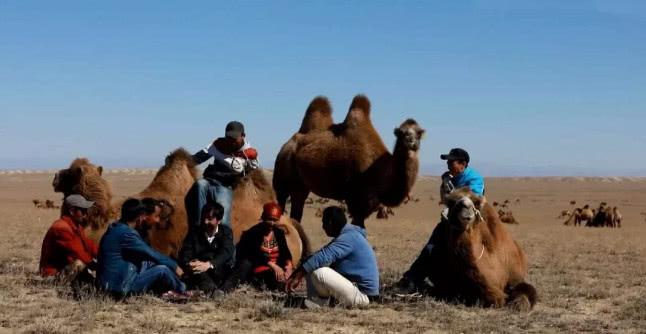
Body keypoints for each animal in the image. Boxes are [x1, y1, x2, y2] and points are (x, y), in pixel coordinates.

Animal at [274, 94, 426, 230]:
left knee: (297, 208)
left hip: (300, 185)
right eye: (401, 133)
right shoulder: (356, 198)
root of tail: (285, 146)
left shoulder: (370, 202)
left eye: (419, 133)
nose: (411, 141)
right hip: (282, 176)